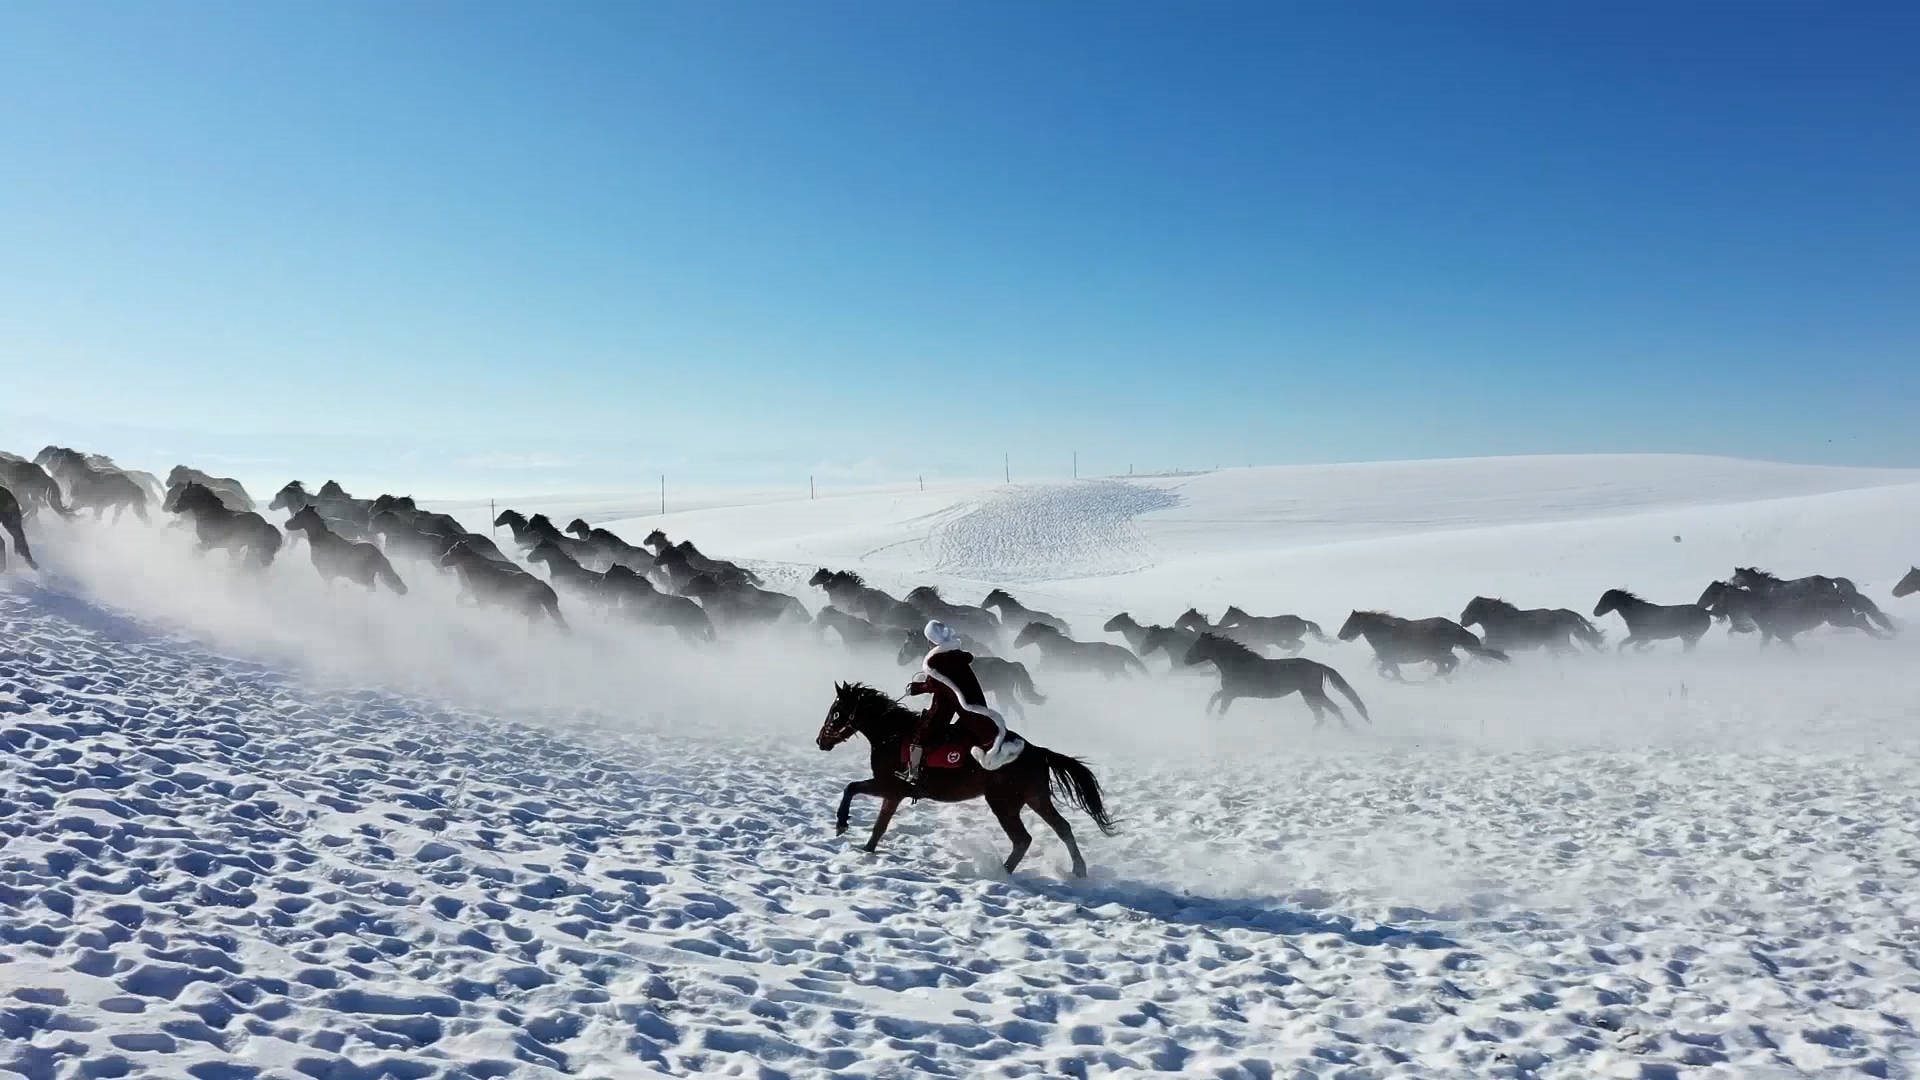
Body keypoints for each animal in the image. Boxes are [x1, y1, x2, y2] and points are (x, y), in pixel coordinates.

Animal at [817, 680, 1121, 876]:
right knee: (1062, 828)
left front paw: (841, 824)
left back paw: (1002, 872)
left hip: (1003, 803)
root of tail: (1037, 751)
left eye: (836, 711)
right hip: (1035, 798)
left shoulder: (888, 785)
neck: (892, 734)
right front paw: (867, 849)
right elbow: (879, 825)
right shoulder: (894, 794)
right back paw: (1078, 870)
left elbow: (851, 788)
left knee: (1023, 839)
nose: (821, 741)